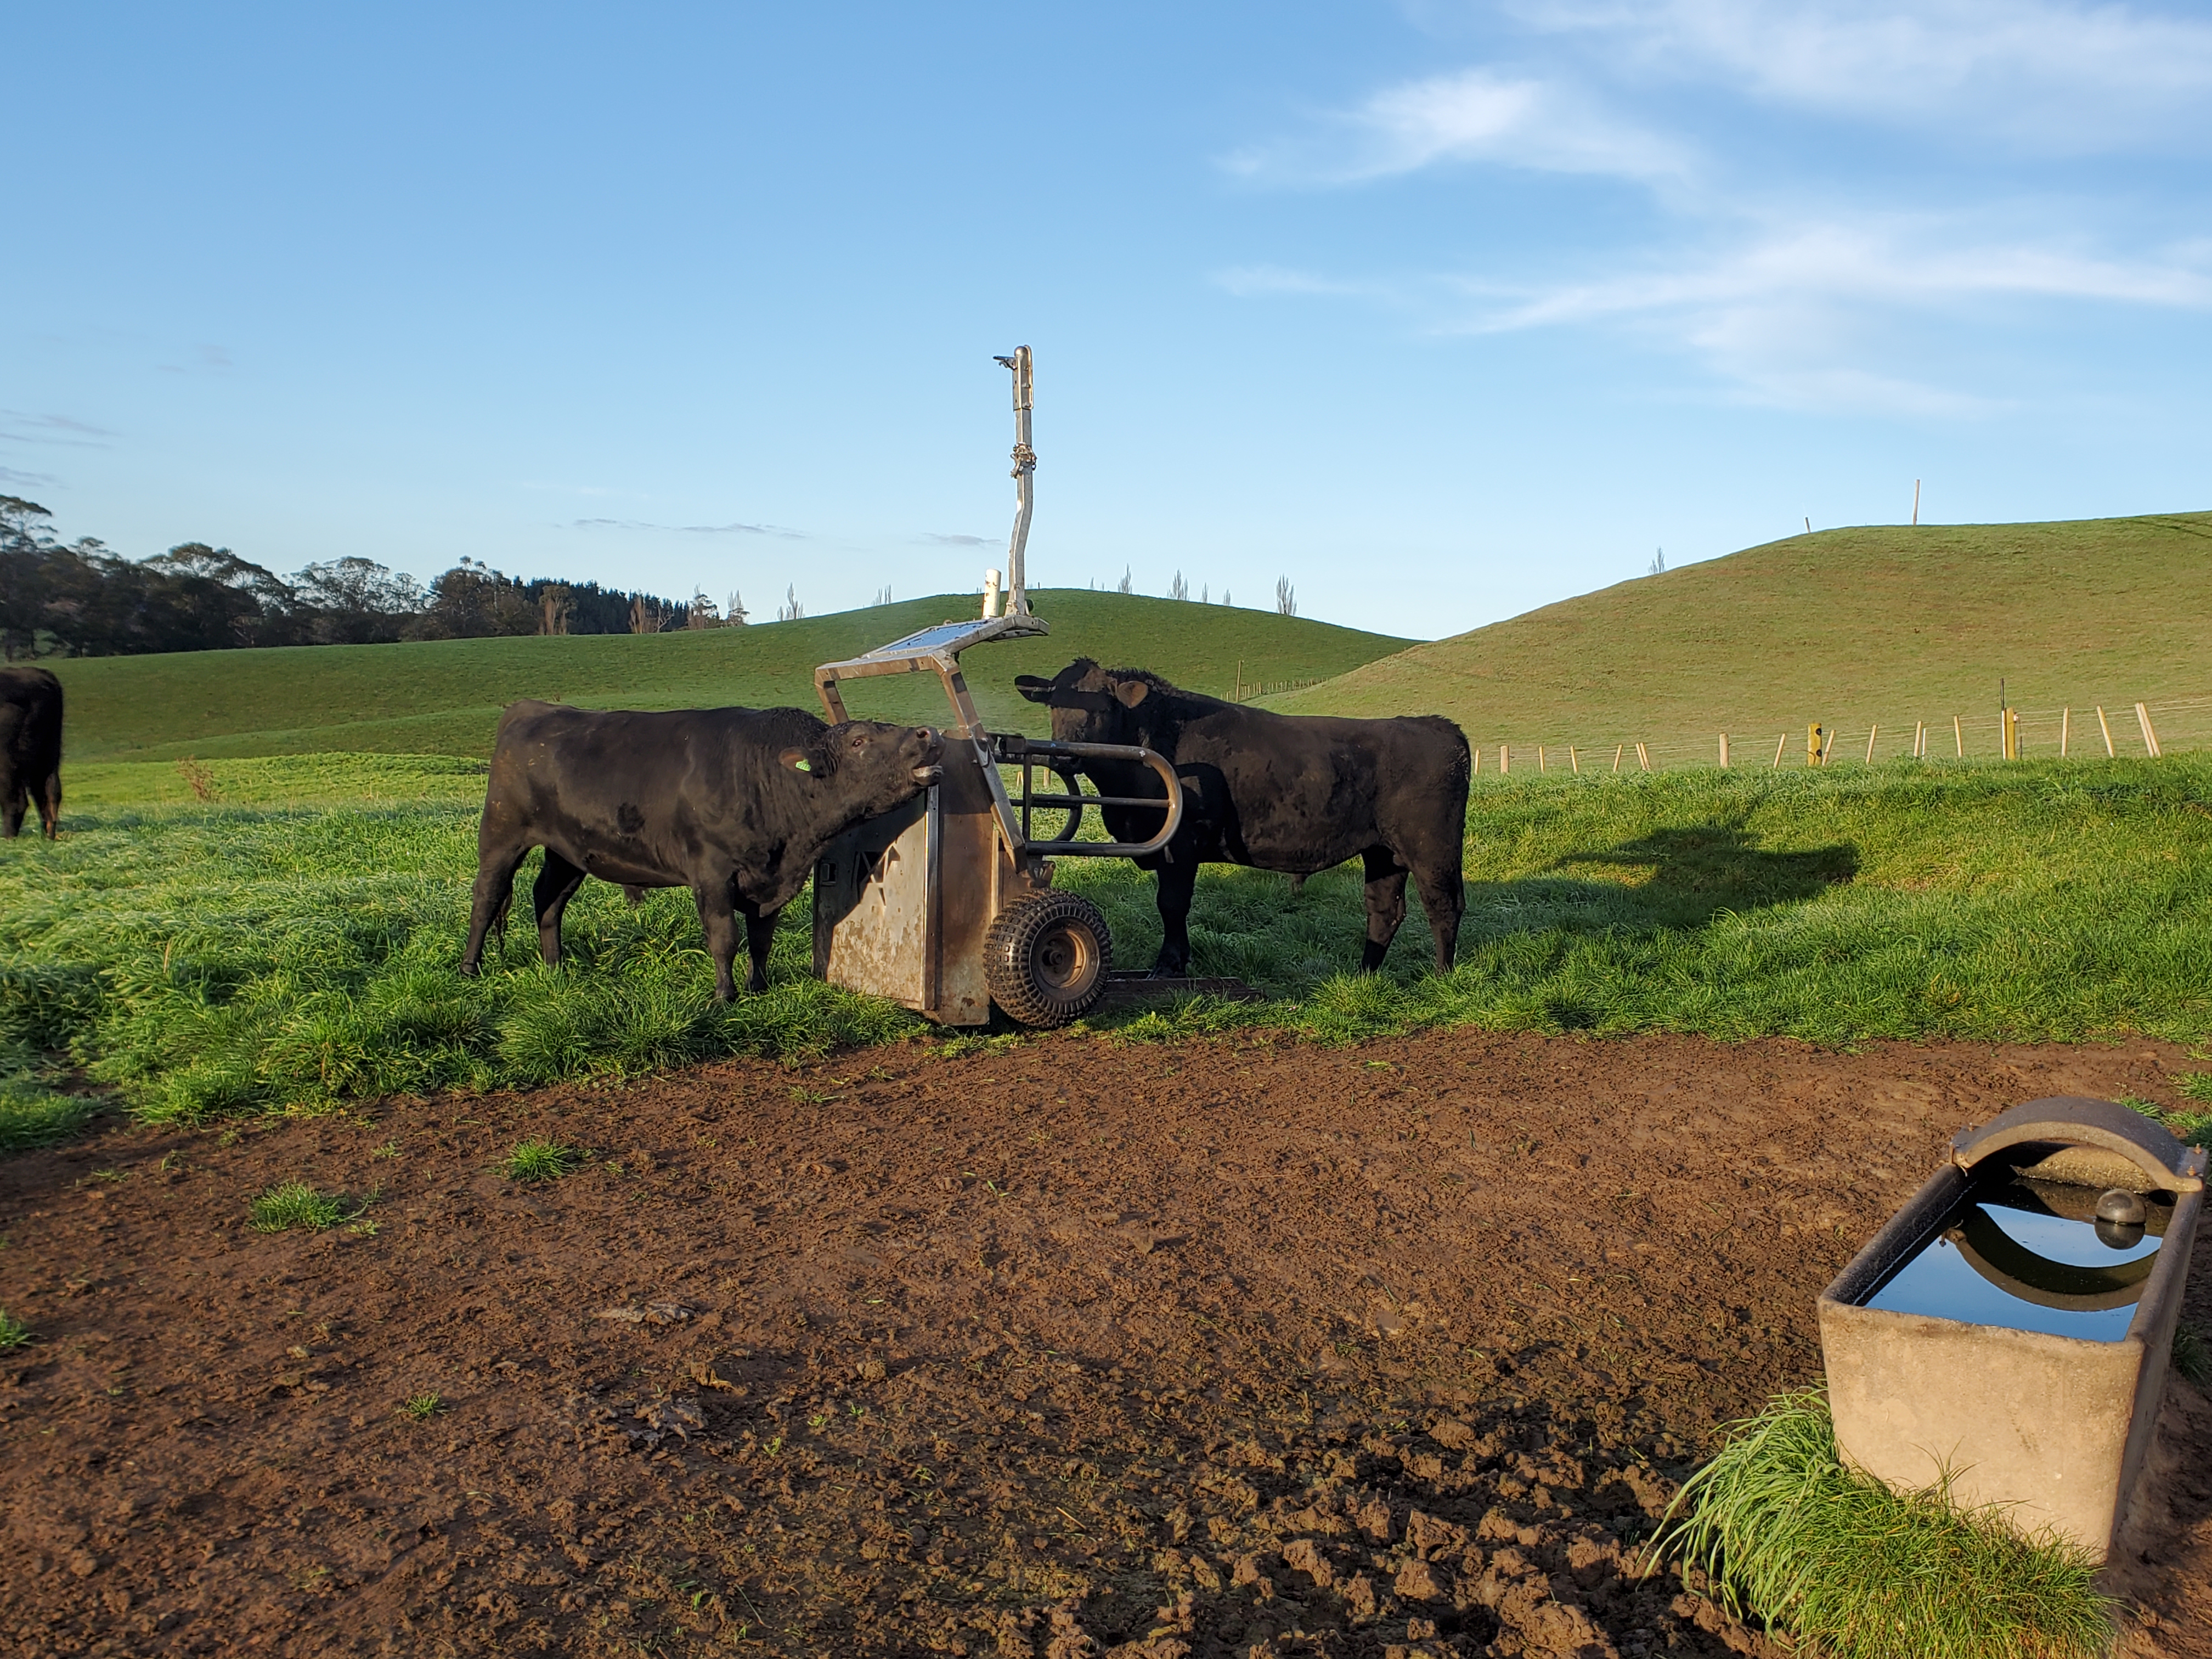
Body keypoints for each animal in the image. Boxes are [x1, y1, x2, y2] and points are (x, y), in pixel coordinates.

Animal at [460, 702, 943, 1000]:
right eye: (859, 742)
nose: (928, 733)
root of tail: (531, 708)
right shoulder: (712, 872)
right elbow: (724, 937)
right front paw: (725, 995)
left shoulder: (770, 880)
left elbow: (761, 940)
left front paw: (759, 987)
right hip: (501, 834)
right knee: (487, 897)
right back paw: (469, 968)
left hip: (568, 851)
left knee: (548, 899)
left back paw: (555, 967)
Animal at [1015, 660, 1468, 976]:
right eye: (1054, 705)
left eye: (1102, 707)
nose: (1063, 754)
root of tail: (1437, 725)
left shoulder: (1180, 846)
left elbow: (1172, 905)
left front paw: (1168, 965)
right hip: (1381, 853)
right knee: (1384, 911)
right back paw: (1364, 975)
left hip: (1432, 850)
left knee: (1443, 906)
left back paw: (1440, 975)